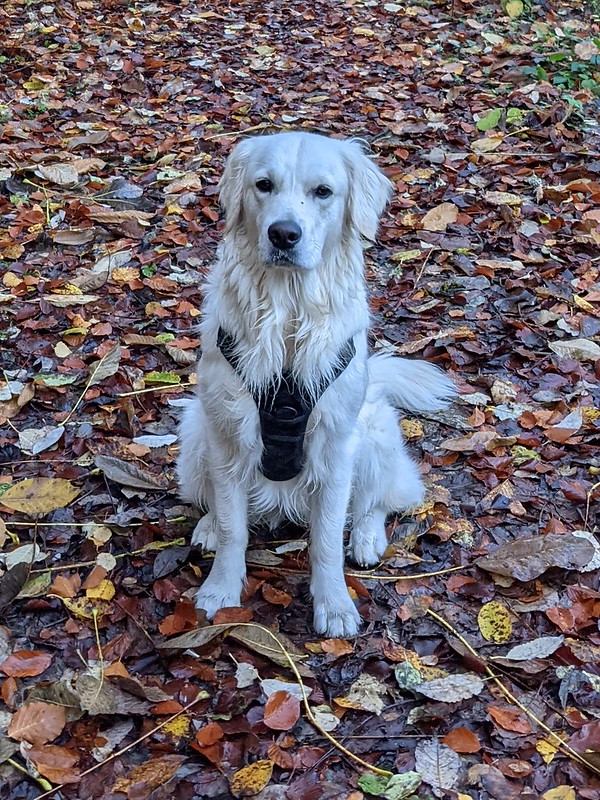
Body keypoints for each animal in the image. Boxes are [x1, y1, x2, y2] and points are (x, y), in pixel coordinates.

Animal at [178, 131, 454, 636]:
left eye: (323, 192)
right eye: (263, 185)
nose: (283, 234)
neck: (287, 313)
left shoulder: (335, 449)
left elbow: (325, 539)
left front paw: (335, 605)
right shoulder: (227, 438)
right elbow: (232, 527)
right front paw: (219, 589)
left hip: (372, 440)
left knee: (379, 501)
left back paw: (366, 537)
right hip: (193, 438)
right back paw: (205, 525)